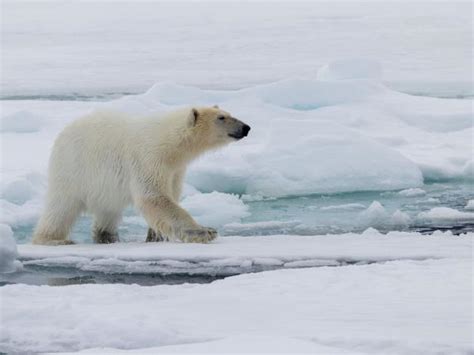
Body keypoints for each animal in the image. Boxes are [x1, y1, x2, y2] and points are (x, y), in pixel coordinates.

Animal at [31, 105, 250, 245]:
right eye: (221, 118)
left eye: (228, 113)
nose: (246, 127)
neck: (169, 142)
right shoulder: (148, 159)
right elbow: (153, 197)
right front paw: (204, 232)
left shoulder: (174, 170)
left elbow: (170, 195)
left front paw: (155, 236)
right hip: (73, 169)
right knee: (61, 207)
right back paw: (53, 239)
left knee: (108, 210)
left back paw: (106, 236)